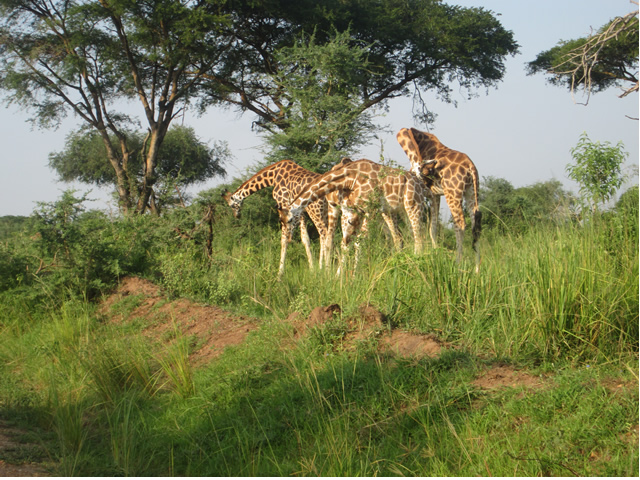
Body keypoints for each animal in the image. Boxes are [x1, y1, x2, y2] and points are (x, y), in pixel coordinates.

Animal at [221, 158, 350, 278]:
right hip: (329, 211)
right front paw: (313, 269)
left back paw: (329, 271)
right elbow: (305, 239)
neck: (272, 176)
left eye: (231, 205)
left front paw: (279, 274)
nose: (236, 216)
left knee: (326, 236)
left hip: (316, 211)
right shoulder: (300, 212)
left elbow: (284, 240)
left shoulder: (283, 205)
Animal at [284, 159, 424, 276]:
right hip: (396, 210)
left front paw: (353, 276)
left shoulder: (368, 209)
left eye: (289, 220)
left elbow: (358, 242)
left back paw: (416, 264)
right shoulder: (351, 211)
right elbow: (342, 242)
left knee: (418, 236)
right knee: (402, 236)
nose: (288, 238)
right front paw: (335, 277)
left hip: (413, 204)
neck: (349, 179)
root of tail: (419, 182)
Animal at [396, 127, 480, 270]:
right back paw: (477, 269)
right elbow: (433, 227)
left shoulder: (422, 193)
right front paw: (435, 253)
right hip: (471, 192)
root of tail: (471, 167)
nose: (428, 171)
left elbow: (416, 225)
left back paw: (458, 263)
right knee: (476, 226)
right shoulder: (434, 195)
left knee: (460, 224)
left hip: (453, 193)